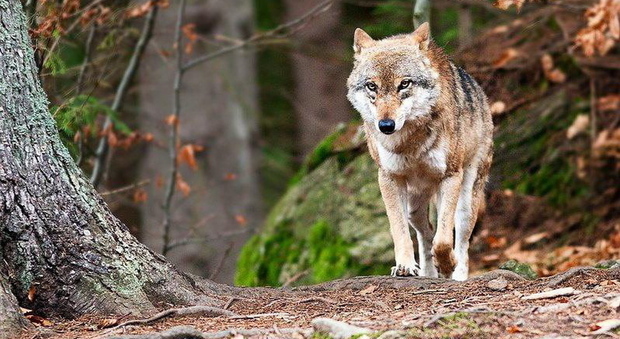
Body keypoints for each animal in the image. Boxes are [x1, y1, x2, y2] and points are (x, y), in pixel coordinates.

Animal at [344, 22, 494, 280]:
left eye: (404, 84)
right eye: (372, 86)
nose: (386, 125)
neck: (410, 143)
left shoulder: (450, 176)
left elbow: (444, 241)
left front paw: (447, 265)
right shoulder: (389, 178)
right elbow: (399, 231)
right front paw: (405, 265)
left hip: (466, 200)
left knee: (460, 239)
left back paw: (457, 275)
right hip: (414, 206)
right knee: (426, 232)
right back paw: (427, 272)